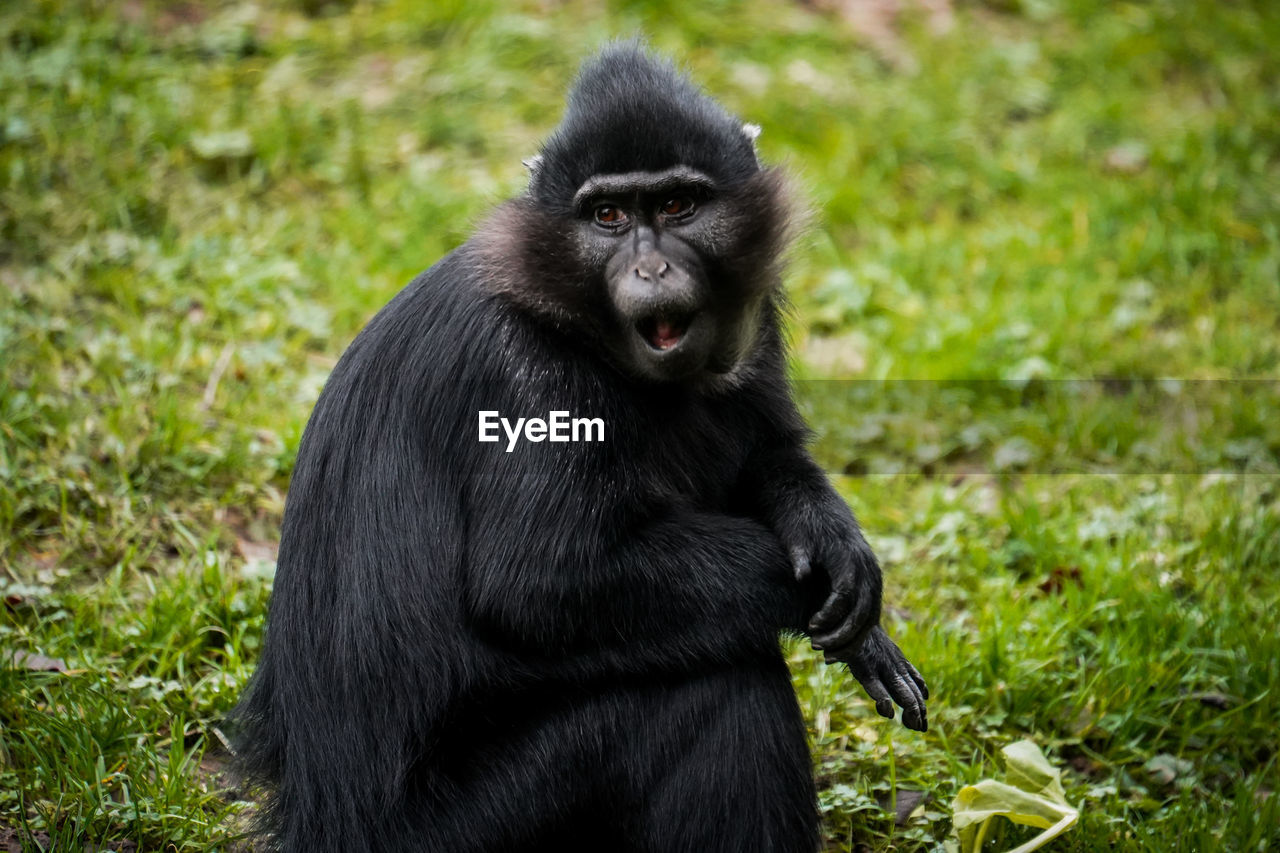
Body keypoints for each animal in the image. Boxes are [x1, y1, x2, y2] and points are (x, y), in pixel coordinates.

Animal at [232, 46, 931, 850]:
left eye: (677, 206)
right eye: (608, 216)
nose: (652, 270)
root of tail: (320, 813)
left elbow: (767, 451)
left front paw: (830, 536)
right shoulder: (526, 375)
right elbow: (540, 581)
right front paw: (835, 609)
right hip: (461, 826)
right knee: (716, 682)